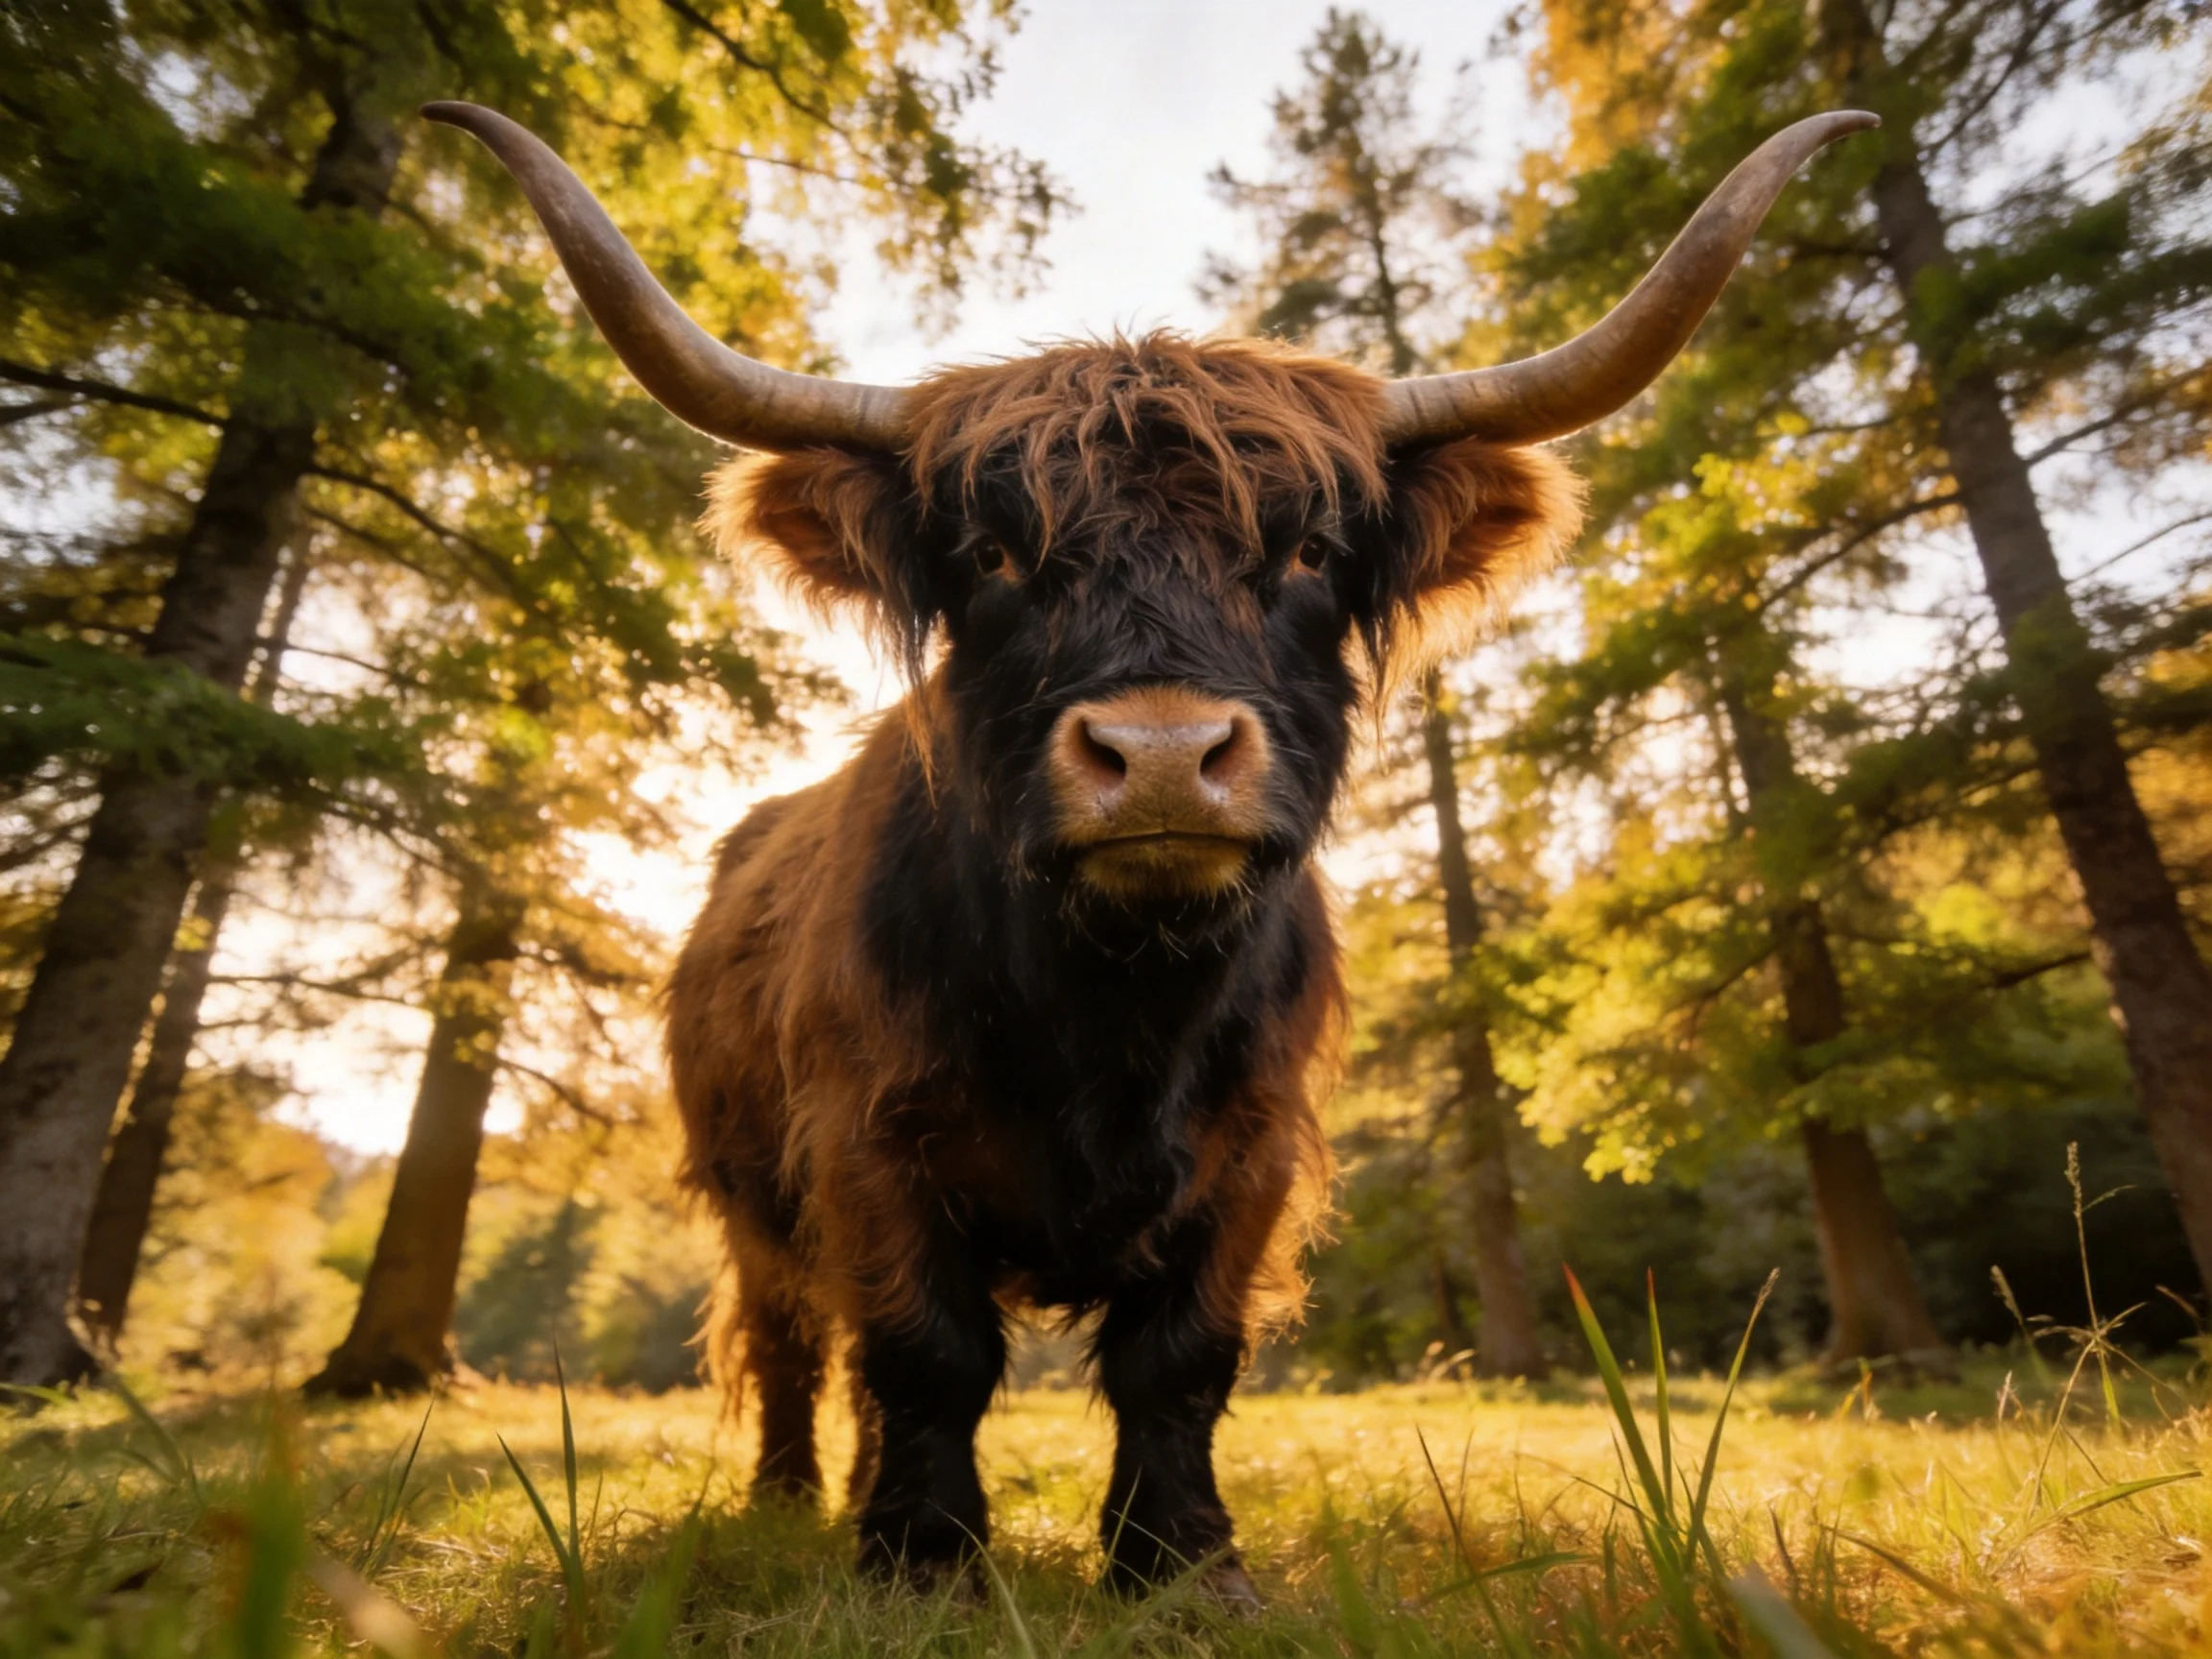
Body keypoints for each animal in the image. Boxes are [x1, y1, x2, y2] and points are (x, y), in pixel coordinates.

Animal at [427, 100, 1874, 1603]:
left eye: (1309, 551)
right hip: (748, 1190)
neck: (1116, 1009)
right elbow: (923, 1351)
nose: (1166, 753)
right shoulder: (867, 1138)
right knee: (787, 1340)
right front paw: (925, 1558)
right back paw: (788, 1504)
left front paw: (1179, 1561)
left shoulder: (1253, 1151)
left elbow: (1179, 1359)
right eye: (993, 555)